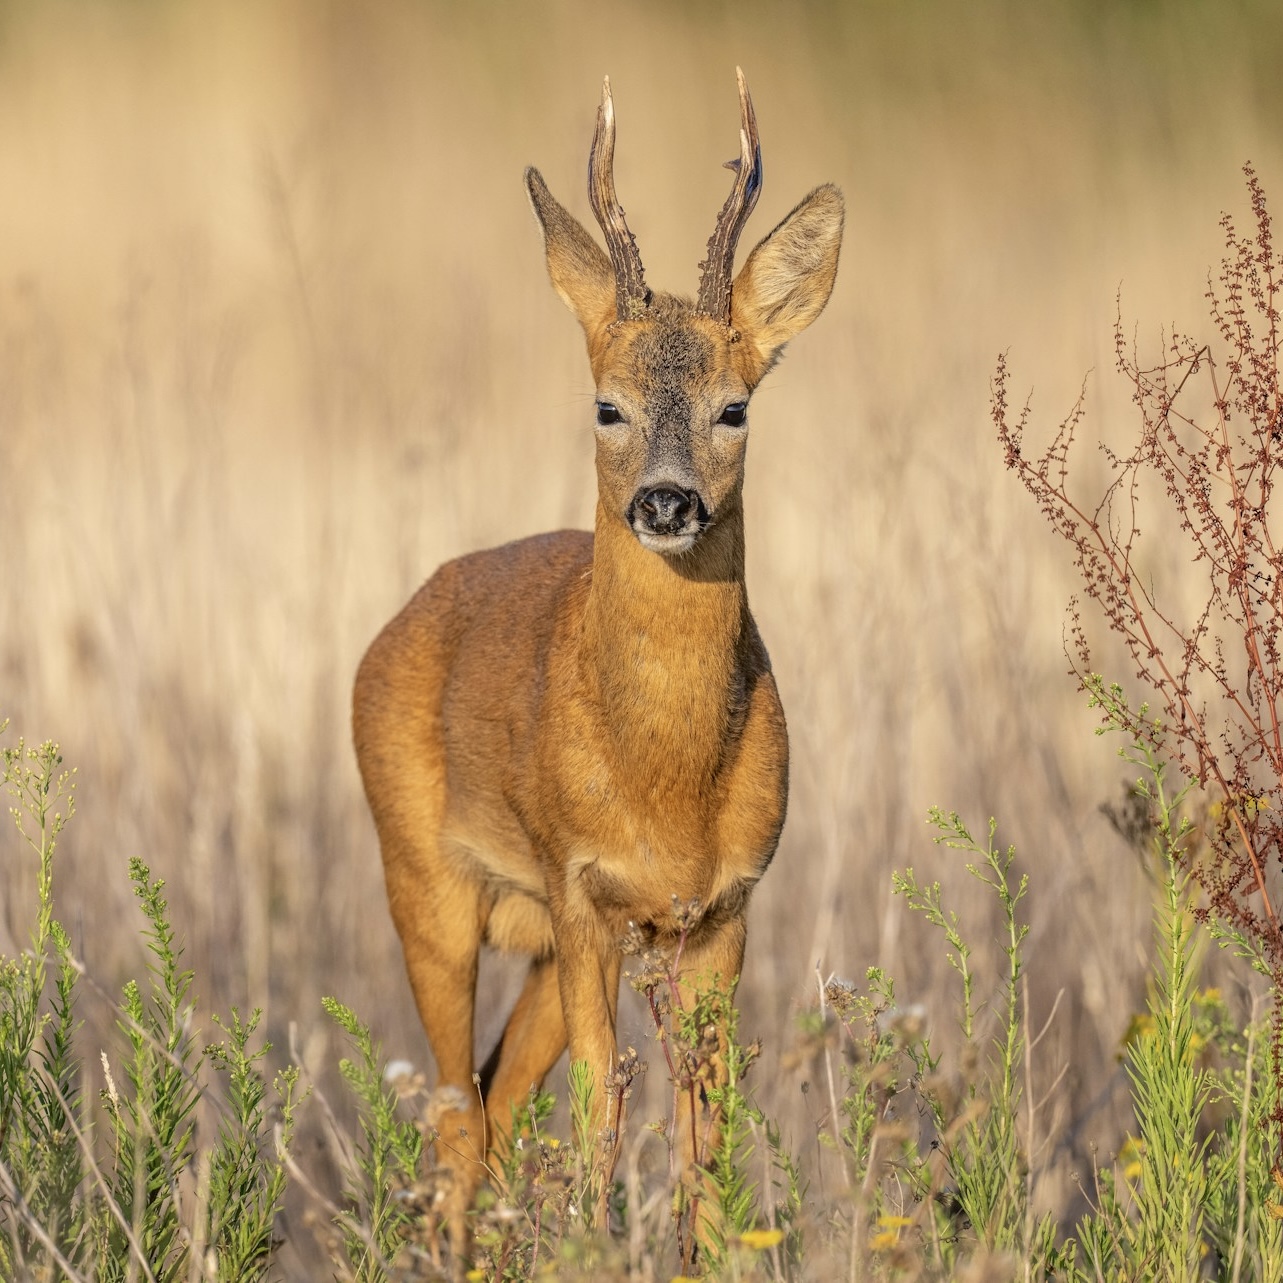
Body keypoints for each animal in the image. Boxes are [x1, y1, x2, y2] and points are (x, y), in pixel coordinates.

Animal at [352, 68, 842, 1254]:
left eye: (734, 405)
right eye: (605, 403)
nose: (665, 501)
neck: (663, 782)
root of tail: (388, 631)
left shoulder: (722, 907)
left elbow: (703, 1141)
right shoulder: (582, 888)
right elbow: (597, 1120)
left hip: (530, 939)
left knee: (490, 1105)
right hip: (423, 879)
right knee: (457, 1115)